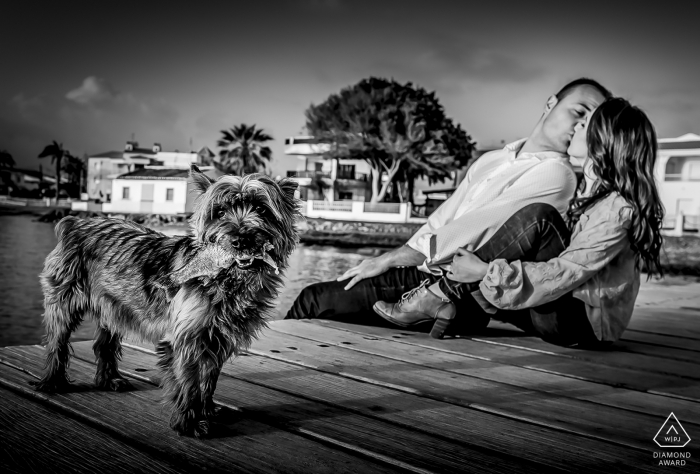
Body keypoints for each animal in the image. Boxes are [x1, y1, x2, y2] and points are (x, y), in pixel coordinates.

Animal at [34, 166, 300, 436]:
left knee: (104, 344)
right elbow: (189, 383)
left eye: (262, 209)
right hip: (64, 299)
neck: (229, 280)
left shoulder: (218, 337)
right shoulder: (186, 338)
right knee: (57, 342)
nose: (240, 240)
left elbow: (209, 377)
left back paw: (109, 380)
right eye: (220, 212)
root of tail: (77, 223)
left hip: (114, 303)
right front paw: (189, 422)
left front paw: (207, 409)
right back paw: (53, 382)